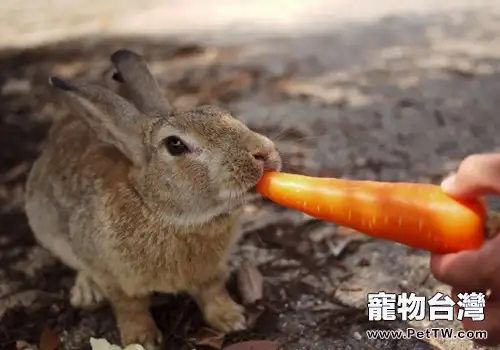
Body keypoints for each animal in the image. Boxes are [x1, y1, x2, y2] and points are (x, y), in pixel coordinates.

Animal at [24, 49, 282, 350]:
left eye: (224, 114)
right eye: (175, 144)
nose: (263, 153)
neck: (156, 208)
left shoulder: (210, 273)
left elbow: (212, 292)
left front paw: (232, 319)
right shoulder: (114, 277)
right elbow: (129, 307)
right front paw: (141, 340)